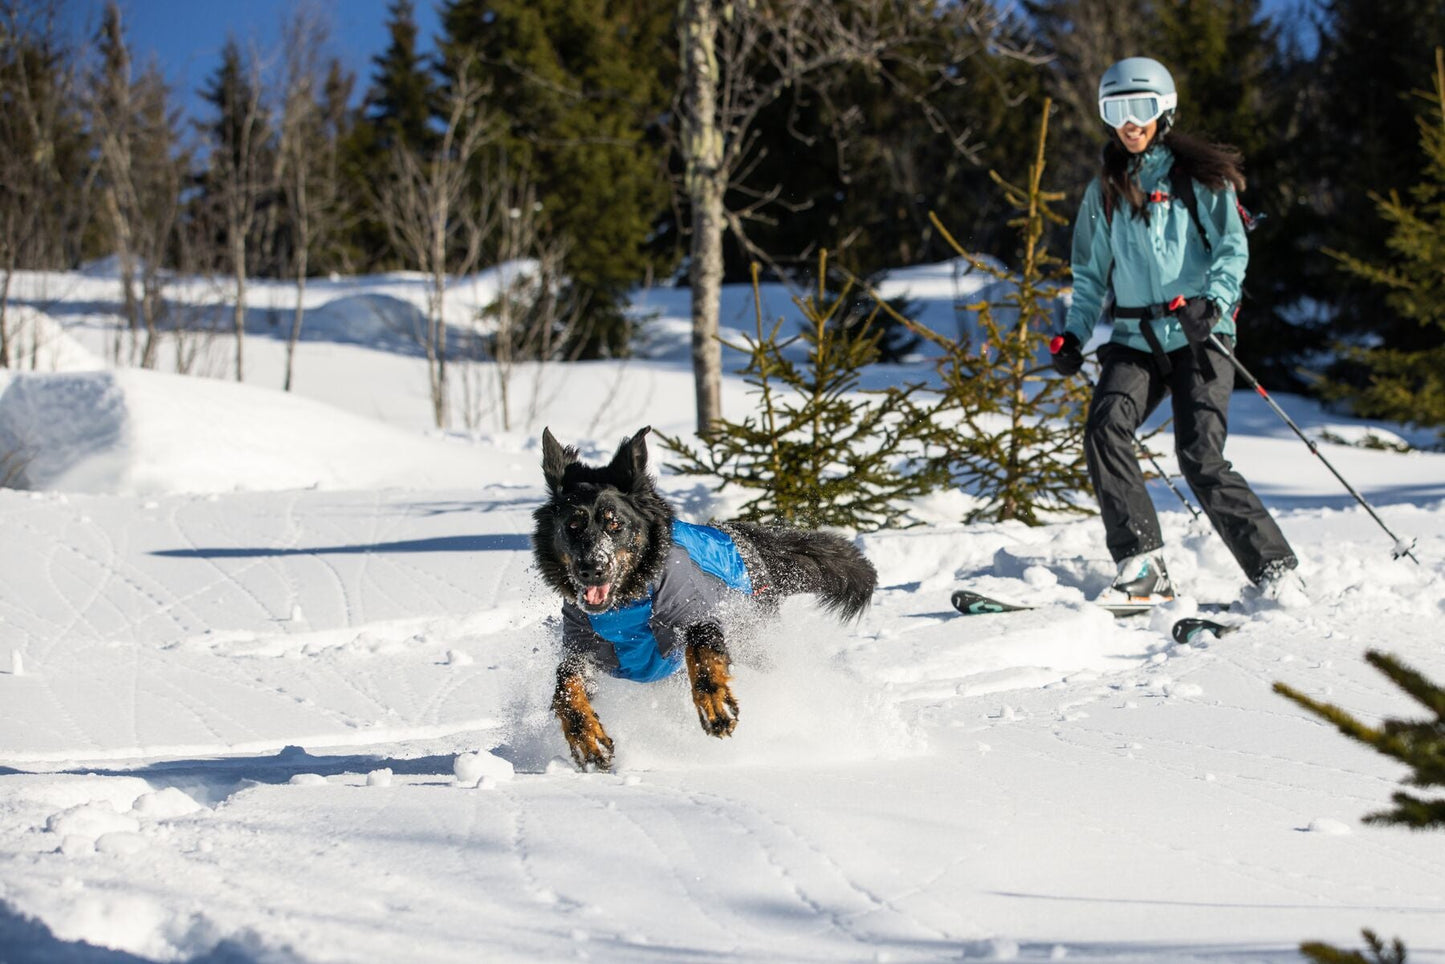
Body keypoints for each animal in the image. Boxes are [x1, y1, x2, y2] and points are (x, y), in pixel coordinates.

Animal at [528, 424, 867, 774]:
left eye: (615, 523)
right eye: (572, 525)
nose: (592, 568)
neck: (626, 606)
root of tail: (742, 536)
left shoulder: (693, 611)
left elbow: (701, 650)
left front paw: (715, 704)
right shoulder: (584, 644)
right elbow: (566, 685)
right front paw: (587, 738)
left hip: (756, 640)